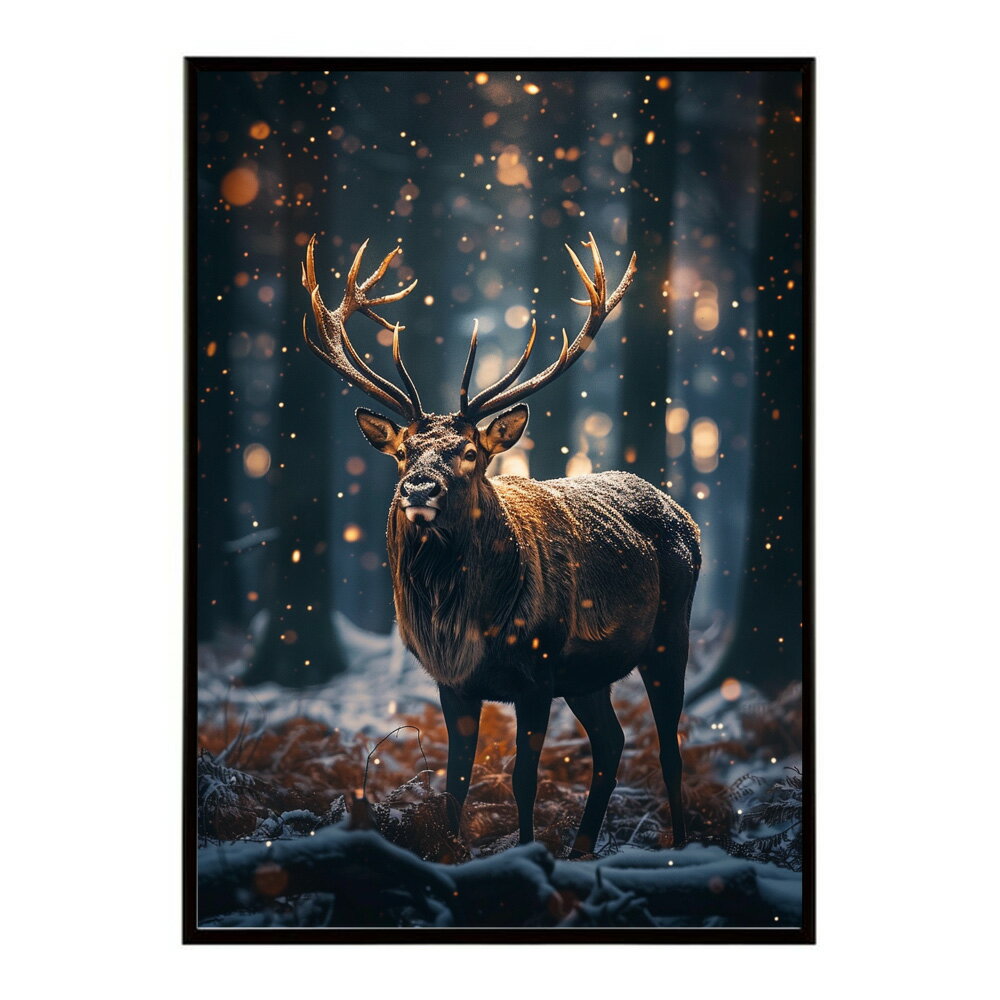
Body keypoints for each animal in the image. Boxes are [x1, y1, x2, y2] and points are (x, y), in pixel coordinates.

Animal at [302, 233, 701, 856]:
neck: (467, 627)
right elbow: (455, 780)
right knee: (612, 743)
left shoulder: (538, 671)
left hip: (669, 633)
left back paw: (679, 849)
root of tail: (687, 518)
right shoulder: (454, 685)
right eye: (404, 451)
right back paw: (581, 849)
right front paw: (450, 853)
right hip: (587, 675)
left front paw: (528, 850)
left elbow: (522, 777)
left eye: (469, 452)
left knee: (669, 748)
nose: (419, 487)